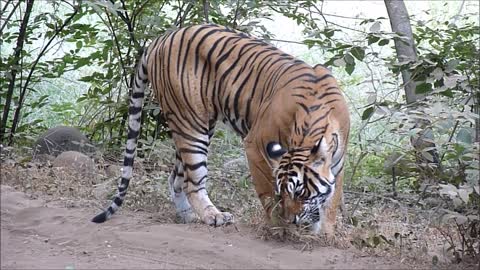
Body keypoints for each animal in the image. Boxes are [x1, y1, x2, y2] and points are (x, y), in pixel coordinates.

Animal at [92, 23, 350, 234]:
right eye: (284, 192)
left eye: (300, 193)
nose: (291, 220)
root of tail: (161, 38)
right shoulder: (255, 144)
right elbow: (266, 193)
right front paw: (278, 225)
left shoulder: (337, 162)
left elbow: (332, 200)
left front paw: (324, 233)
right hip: (191, 125)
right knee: (193, 181)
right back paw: (213, 216)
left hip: (195, 126)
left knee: (176, 178)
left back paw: (188, 216)